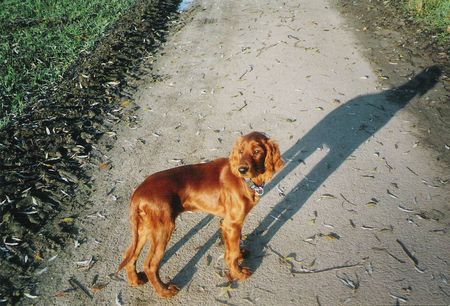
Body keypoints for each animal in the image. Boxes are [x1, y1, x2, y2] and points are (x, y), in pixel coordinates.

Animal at [117, 131, 284, 296]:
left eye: (257, 151)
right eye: (241, 151)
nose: (241, 170)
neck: (245, 182)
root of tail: (137, 194)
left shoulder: (227, 223)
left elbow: (233, 246)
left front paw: (241, 254)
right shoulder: (232, 223)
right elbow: (233, 252)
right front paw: (239, 273)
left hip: (145, 227)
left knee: (129, 254)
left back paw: (135, 280)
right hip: (163, 228)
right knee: (150, 265)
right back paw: (165, 291)